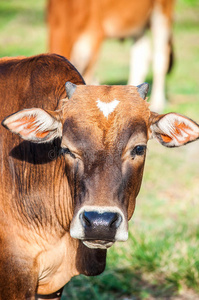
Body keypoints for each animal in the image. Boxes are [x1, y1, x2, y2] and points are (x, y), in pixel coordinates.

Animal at [47, 0, 175, 112]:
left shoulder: (95, 34)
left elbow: (88, 75)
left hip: (162, 12)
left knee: (160, 57)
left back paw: (157, 103)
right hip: (137, 24)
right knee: (140, 56)